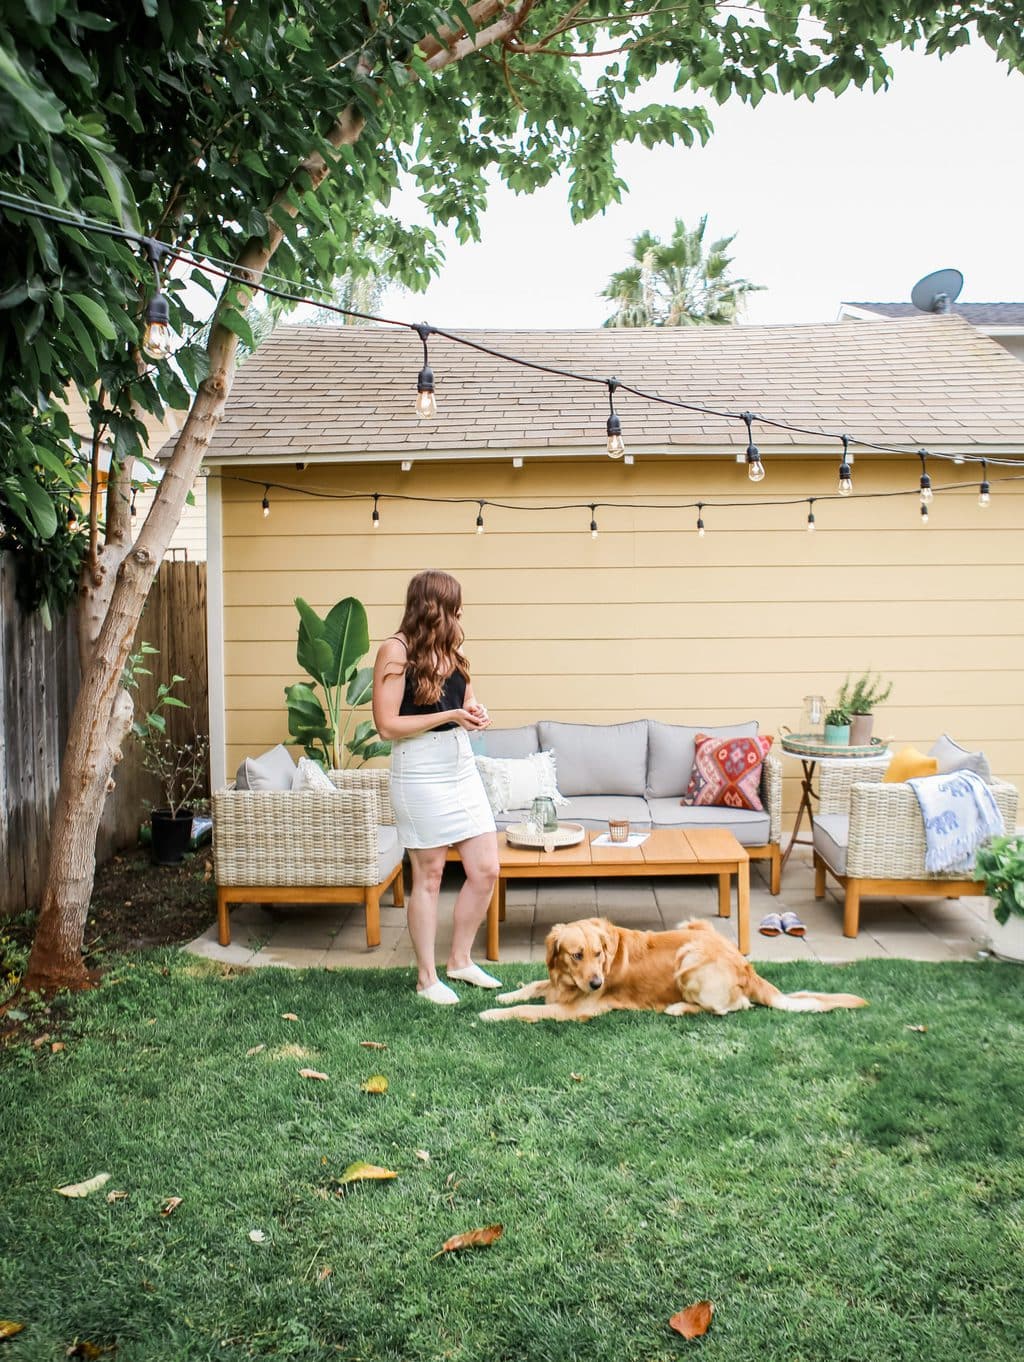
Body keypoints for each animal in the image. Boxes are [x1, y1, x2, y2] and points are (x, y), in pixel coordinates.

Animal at [479, 915, 866, 1024]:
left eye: (599, 954)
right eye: (576, 955)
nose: (597, 983)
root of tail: (746, 965)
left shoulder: (574, 1010)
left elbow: (528, 1009)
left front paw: (489, 1014)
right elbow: (533, 985)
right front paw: (504, 996)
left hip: (690, 960)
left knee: (732, 1007)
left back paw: (679, 1007)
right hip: (696, 926)